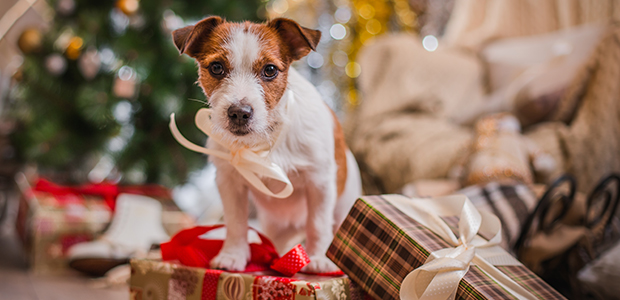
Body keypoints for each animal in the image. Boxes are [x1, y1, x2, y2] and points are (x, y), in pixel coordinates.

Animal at [171, 17, 364, 274]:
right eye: (216, 68)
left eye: (270, 70)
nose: (239, 113)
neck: (264, 140)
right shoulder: (230, 182)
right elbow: (236, 222)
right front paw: (233, 255)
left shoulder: (319, 182)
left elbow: (318, 223)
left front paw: (317, 258)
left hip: (343, 208)